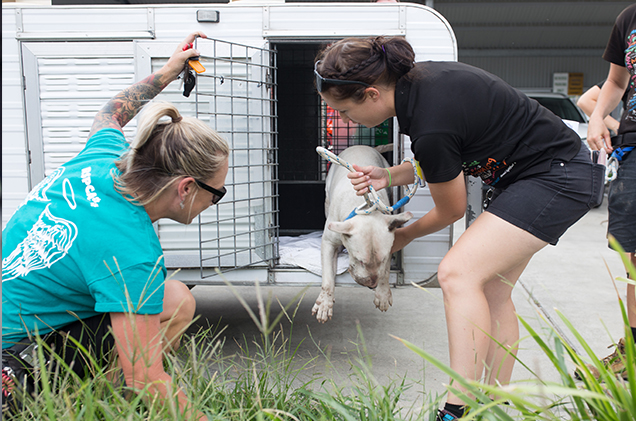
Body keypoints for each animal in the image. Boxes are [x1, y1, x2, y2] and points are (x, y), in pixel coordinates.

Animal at [312, 144, 412, 322]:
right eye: (360, 261)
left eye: (383, 259)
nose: (372, 285)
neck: (365, 207)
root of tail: (360, 145)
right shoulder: (329, 241)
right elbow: (328, 276)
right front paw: (324, 304)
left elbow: (385, 271)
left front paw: (383, 294)